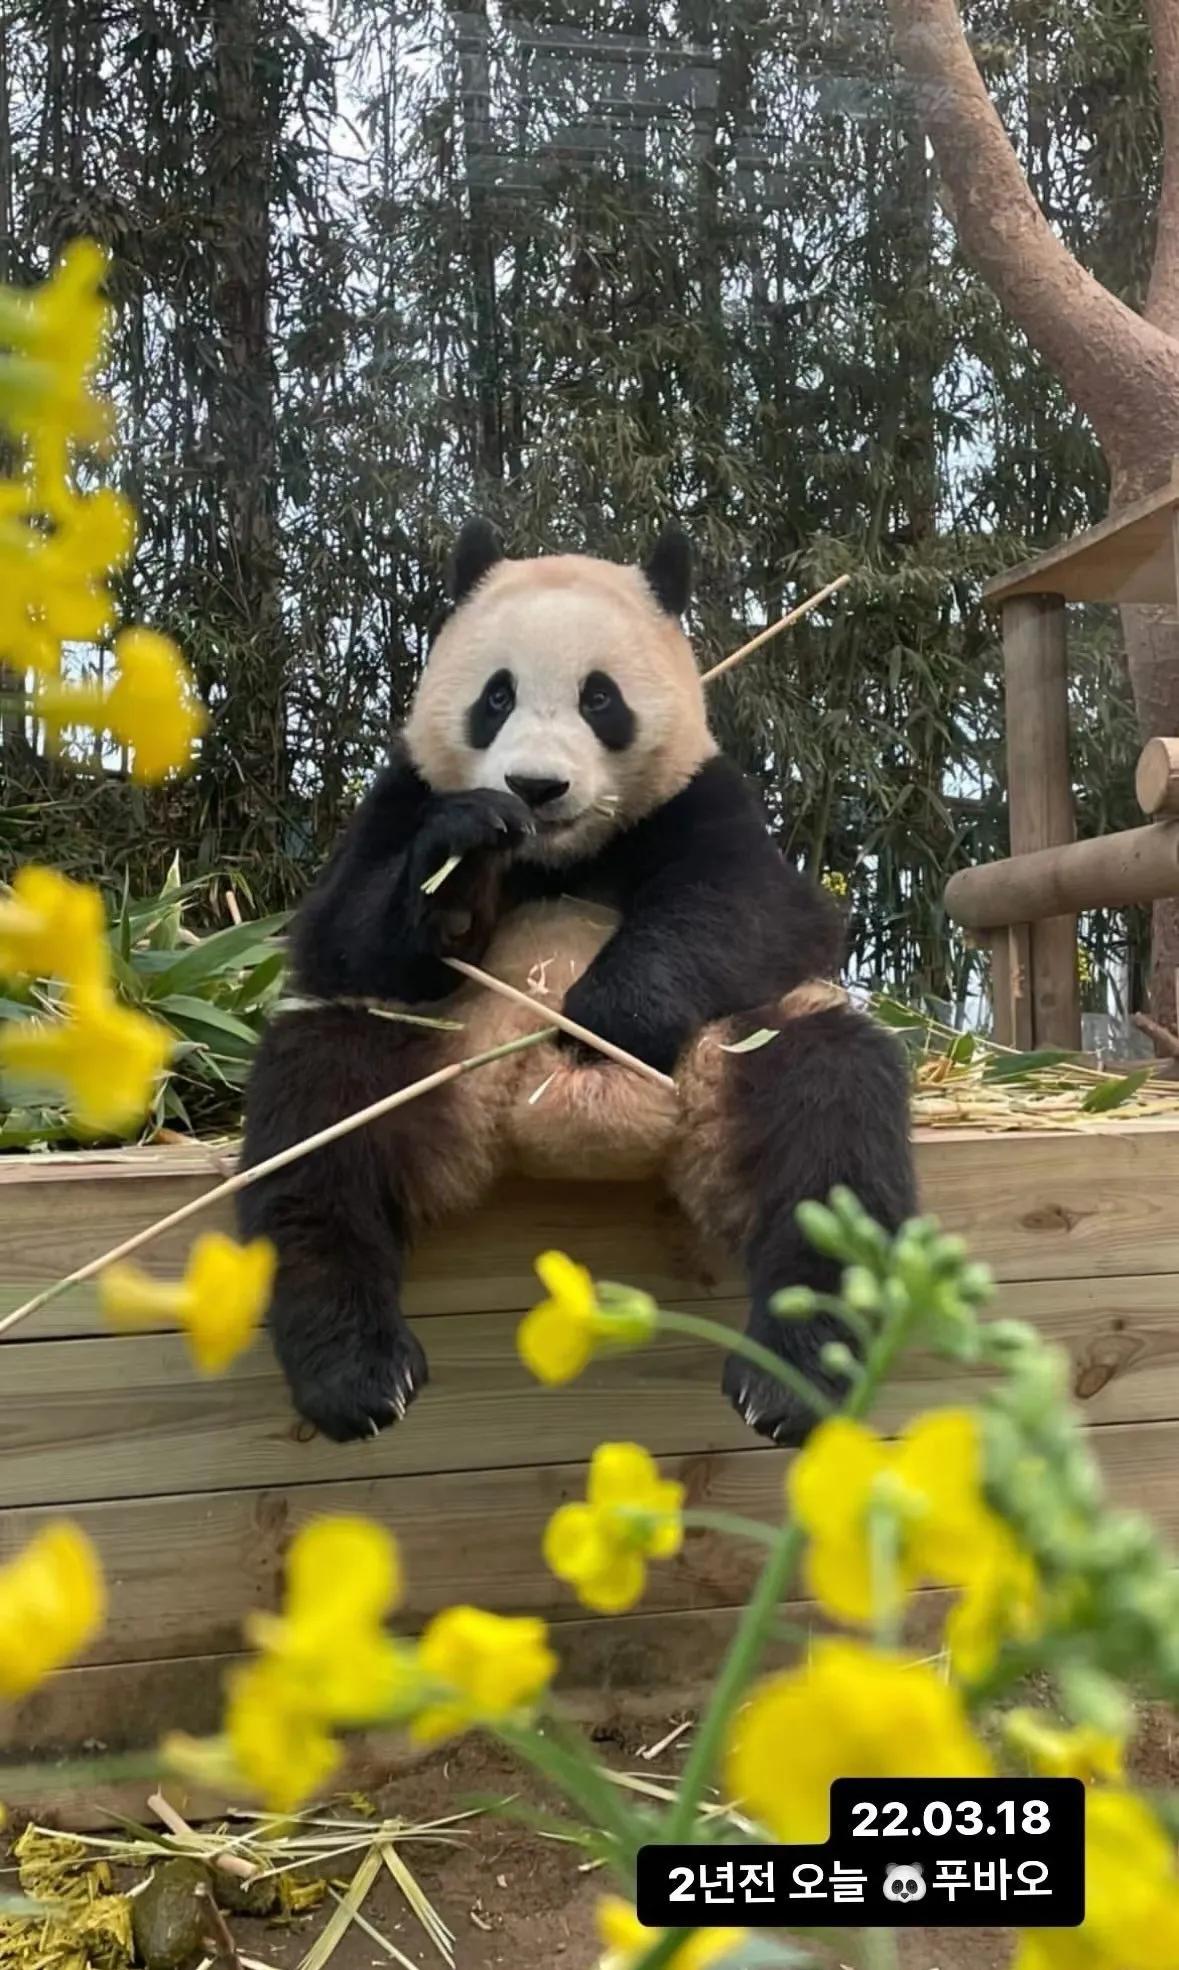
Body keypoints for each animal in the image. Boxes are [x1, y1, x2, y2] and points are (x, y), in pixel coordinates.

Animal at [240, 524, 918, 1449]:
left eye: (600, 698)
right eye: (495, 696)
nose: (534, 787)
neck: (556, 855)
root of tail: (527, 1125)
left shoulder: (701, 799)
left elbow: (754, 914)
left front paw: (604, 1016)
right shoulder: (403, 795)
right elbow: (343, 935)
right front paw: (460, 863)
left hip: (735, 1049)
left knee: (831, 1124)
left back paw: (789, 1383)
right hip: (417, 1047)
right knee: (317, 1125)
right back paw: (356, 1375)